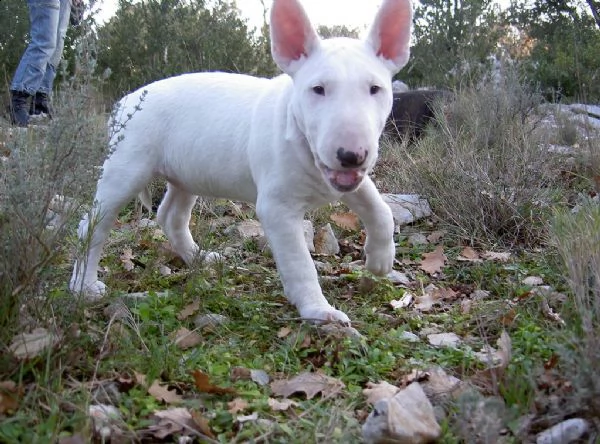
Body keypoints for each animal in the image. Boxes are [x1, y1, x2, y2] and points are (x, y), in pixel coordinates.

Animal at [70, 0, 412, 324]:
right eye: (318, 89)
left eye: (375, 89)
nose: (351, 155)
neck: (300, 136)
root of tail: (125, 102)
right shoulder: (277, 208)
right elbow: (300, 263)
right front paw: (318, 310)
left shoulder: (349, 180)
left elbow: (380, 209)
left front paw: (380, 260)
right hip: (126, 170)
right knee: (93, 224)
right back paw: (83, 287)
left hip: (187, 173)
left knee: (170, 216)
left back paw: (198, 257)